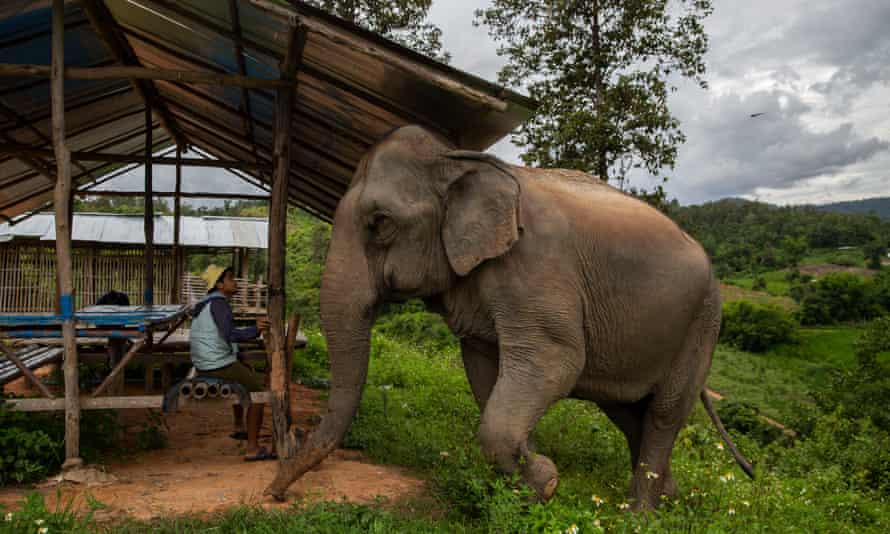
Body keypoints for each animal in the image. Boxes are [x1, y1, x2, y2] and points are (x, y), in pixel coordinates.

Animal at [264, 124, 748, 510]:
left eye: (380, 222)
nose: (274, 494)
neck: (456, 161)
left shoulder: (536, 267)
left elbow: (556, 360)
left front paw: (546, 481)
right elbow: (484, 366)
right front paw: (530, 482)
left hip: (704, 322)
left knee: (664, 412)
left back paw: (640, 514)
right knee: (628, 412)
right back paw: (670, 498)